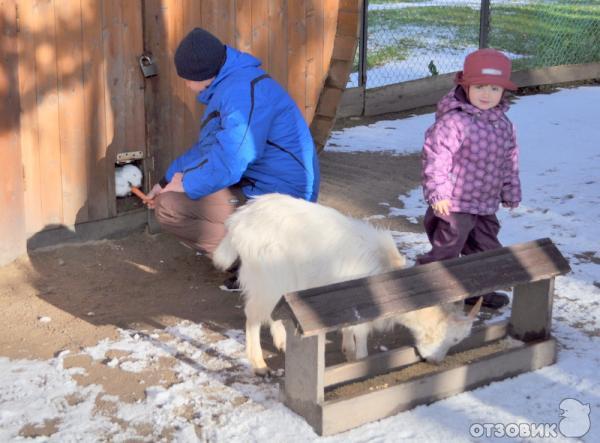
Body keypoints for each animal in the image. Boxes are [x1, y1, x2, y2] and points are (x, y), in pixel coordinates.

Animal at [213, 194, 480, 374]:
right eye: (454, 339)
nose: (435, 362)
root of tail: (239, 221)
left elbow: (349, 330)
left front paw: (347, 350)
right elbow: (361, 340)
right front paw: (358, 361)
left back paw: (282, 343)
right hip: (268, 275)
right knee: (253, 315)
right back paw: (259, 364)